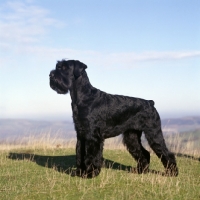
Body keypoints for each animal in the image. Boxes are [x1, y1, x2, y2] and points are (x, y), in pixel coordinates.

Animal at [48, 59, 178, 178]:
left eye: (64, 68)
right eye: (58, 66)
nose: (51, 75)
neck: (83, 96)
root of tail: (150, 103)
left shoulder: (93, 136)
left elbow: (91, 156)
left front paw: (90, 174)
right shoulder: (81, 134)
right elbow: (80, 153)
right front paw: (80, 172)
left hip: (153, 133)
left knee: (167, 153)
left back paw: (172, 173)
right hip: (132, 136)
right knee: (144, 153)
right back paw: (141, 171)